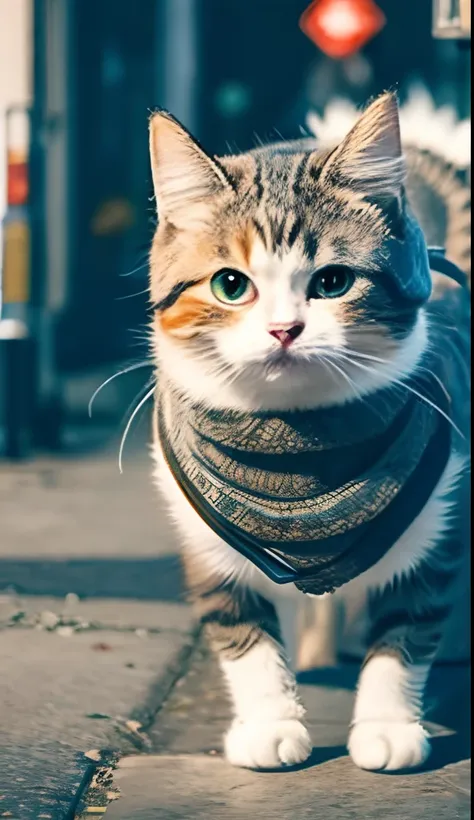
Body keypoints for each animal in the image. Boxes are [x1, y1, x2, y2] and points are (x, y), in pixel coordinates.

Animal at [148, 93, 470, 772]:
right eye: (230, 284)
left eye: (332, 282)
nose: (284, 330)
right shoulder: (206, 538)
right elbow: (241, 630)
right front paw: (271, 722)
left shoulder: (438, 518)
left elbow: (407, 627)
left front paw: (387, 726)